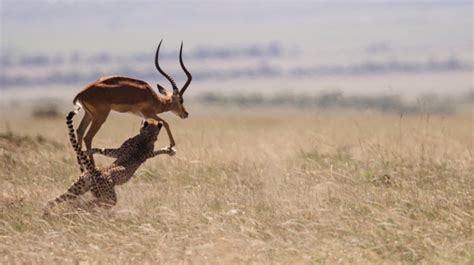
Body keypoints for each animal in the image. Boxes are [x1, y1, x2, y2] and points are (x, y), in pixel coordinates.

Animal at [44, 109, 174, 210]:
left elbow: (103, 150)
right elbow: (104, 150)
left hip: (78, 189)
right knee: (93, 203)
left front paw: (86, 151)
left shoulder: (121, 152)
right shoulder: (137, 153)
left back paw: (47, 214)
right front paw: (169, 150)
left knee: (54, 201)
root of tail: (94, 170)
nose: (143, 119)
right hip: (105, 197)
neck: (147, 135)